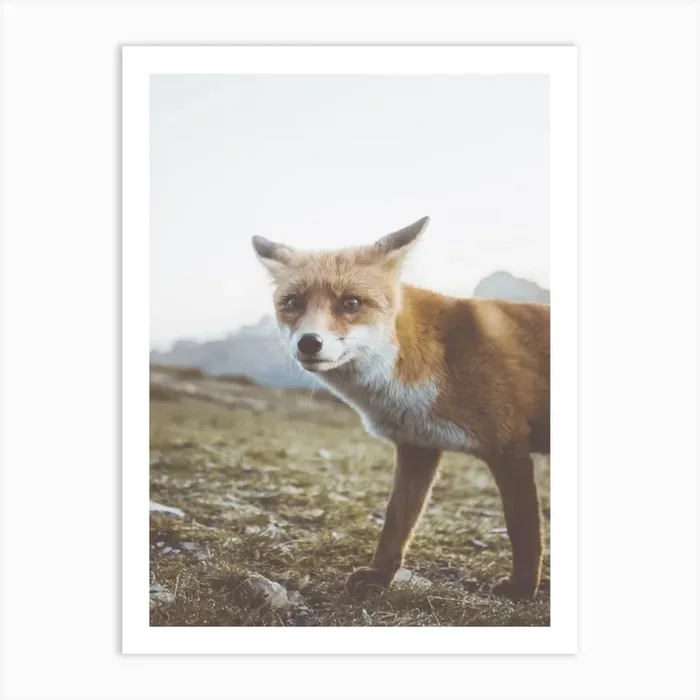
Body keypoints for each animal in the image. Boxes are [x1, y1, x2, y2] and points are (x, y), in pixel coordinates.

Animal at [252, 216, 550, 599]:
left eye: (351, 303)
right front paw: (380, 576)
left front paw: (523, 588)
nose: (308, 343)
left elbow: (524, 531)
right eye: (293, 303)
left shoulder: (509, 446)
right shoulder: (417, 446)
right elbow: (397, 520)